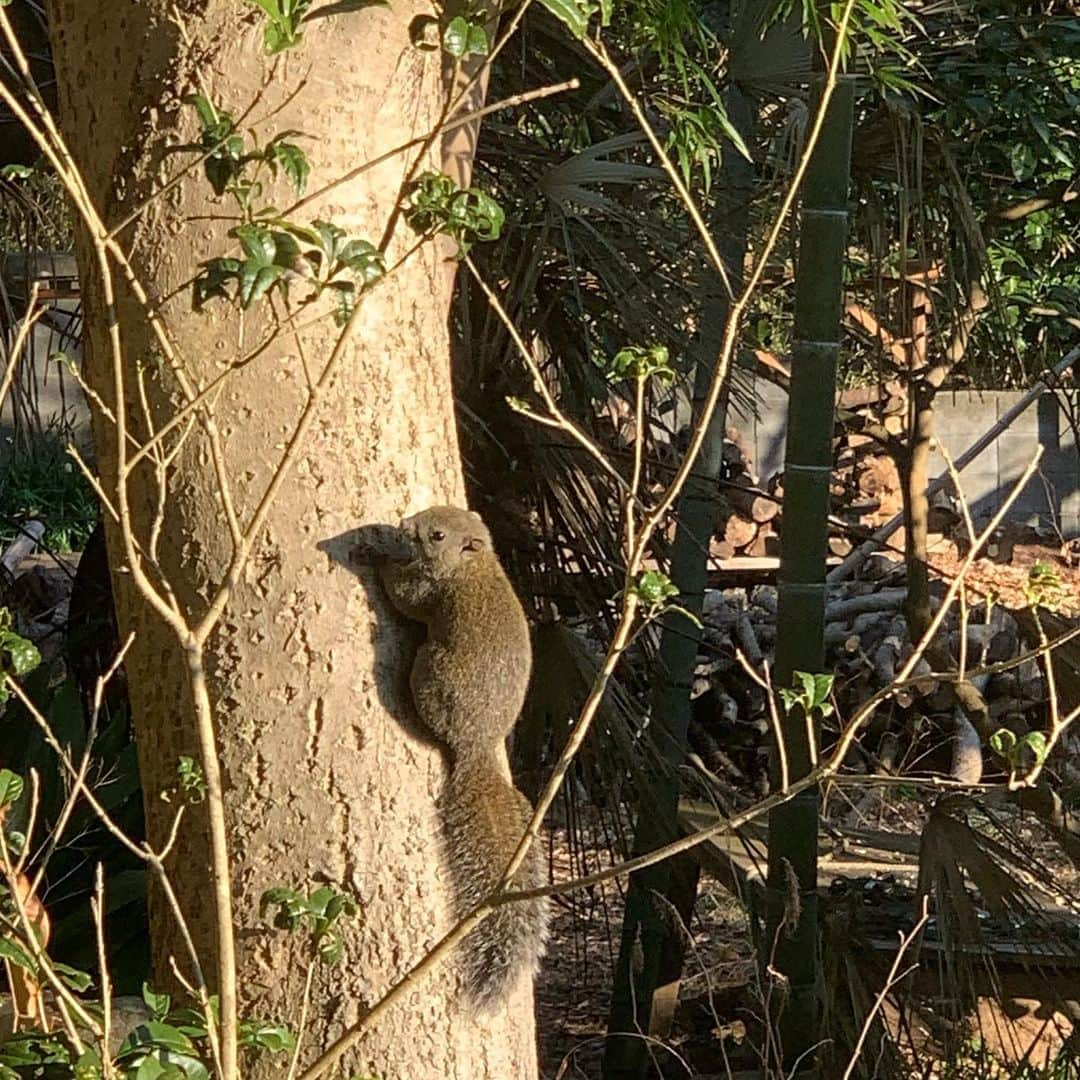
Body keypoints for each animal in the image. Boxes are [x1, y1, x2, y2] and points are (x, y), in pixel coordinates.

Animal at [378, 501, 548, 1006]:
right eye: (433, 511)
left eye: (436, 535)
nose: (404, 526)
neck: (473, 564)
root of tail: (476, 749)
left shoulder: (432, 591)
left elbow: (404, 596)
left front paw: (378, 557)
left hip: (430, 670)